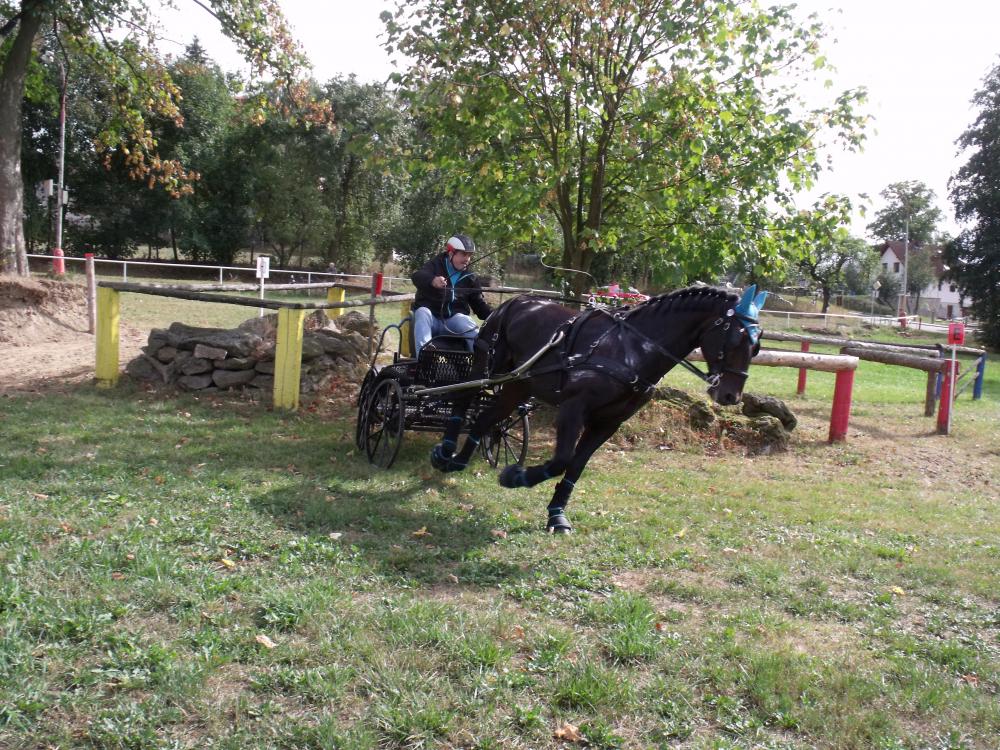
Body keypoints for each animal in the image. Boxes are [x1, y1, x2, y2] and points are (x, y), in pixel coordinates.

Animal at [428, 284, 764, 536]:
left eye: (758, 344)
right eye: (736, 338)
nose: (731, 395)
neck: (631, 351)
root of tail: (513, 301)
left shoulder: (608, 423)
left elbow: (575, 467)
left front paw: (557, 514)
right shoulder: (573, 408)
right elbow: (561, 460)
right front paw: (515, 477)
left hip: (517, 386)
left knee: (486, 420)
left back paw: (458, 460)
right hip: (487, 366)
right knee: (463, 398)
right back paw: (445, 452)